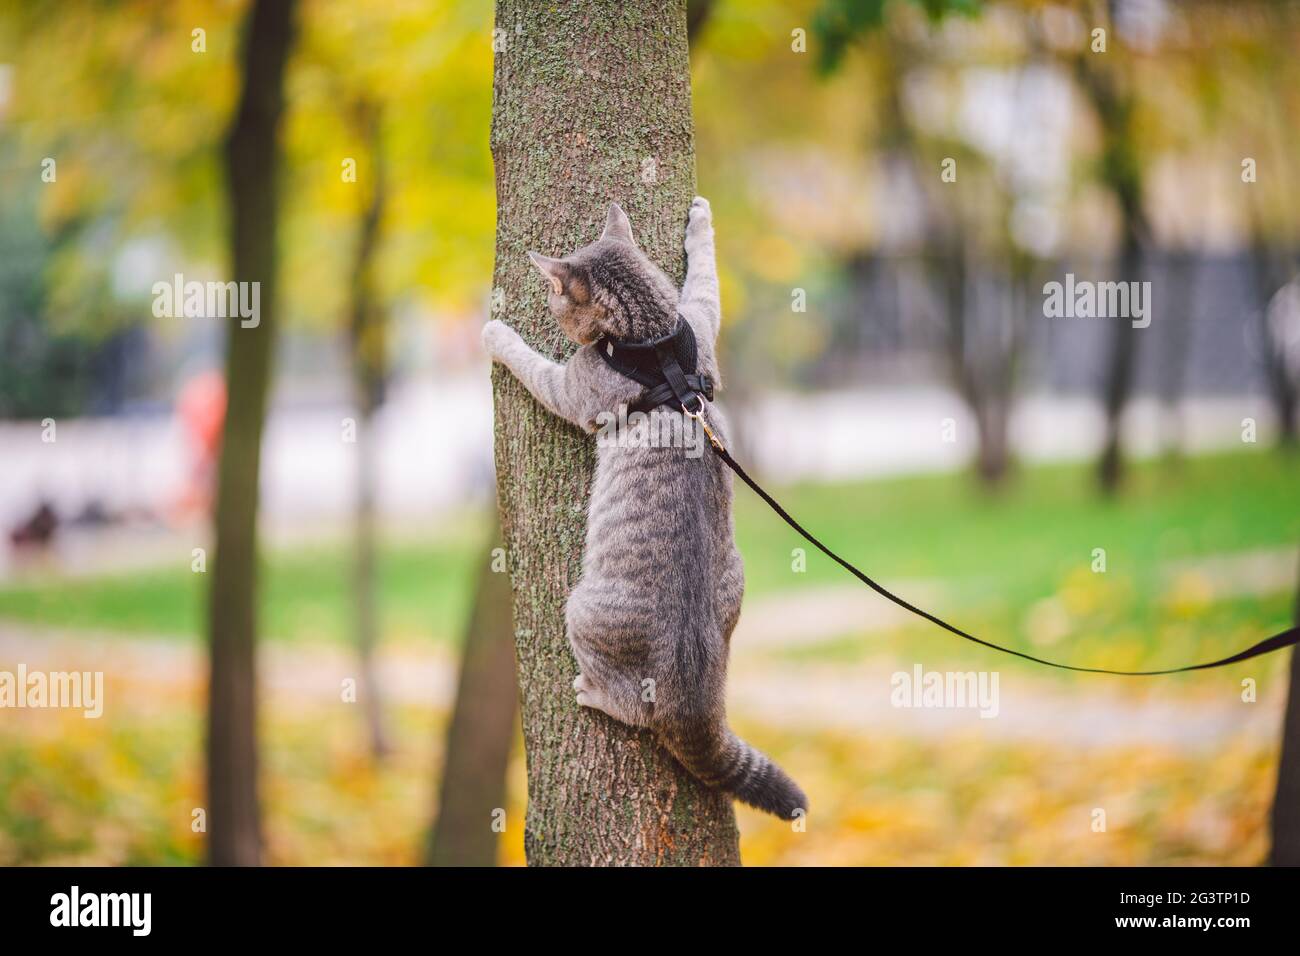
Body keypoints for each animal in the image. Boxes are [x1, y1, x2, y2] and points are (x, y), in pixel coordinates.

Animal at [483, 197, 806, 816]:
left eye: (554, 297)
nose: (548, 305)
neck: (653, 341)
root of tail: (693, 694)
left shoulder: (575, 388)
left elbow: (533, 365)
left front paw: (497, 334)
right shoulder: (700, 317)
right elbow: (704, 277)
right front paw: (700, 223)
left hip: (582, 611)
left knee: (636, 709)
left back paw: (596, 693)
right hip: (735, 586)